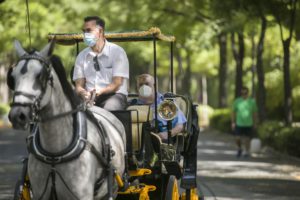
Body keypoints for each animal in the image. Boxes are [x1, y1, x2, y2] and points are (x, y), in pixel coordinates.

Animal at [7, 39, 125, 199]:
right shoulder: (40, 194)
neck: (54, 153)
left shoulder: (83, 195)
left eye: (40, 76)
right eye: (12, 77)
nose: (17, 115)